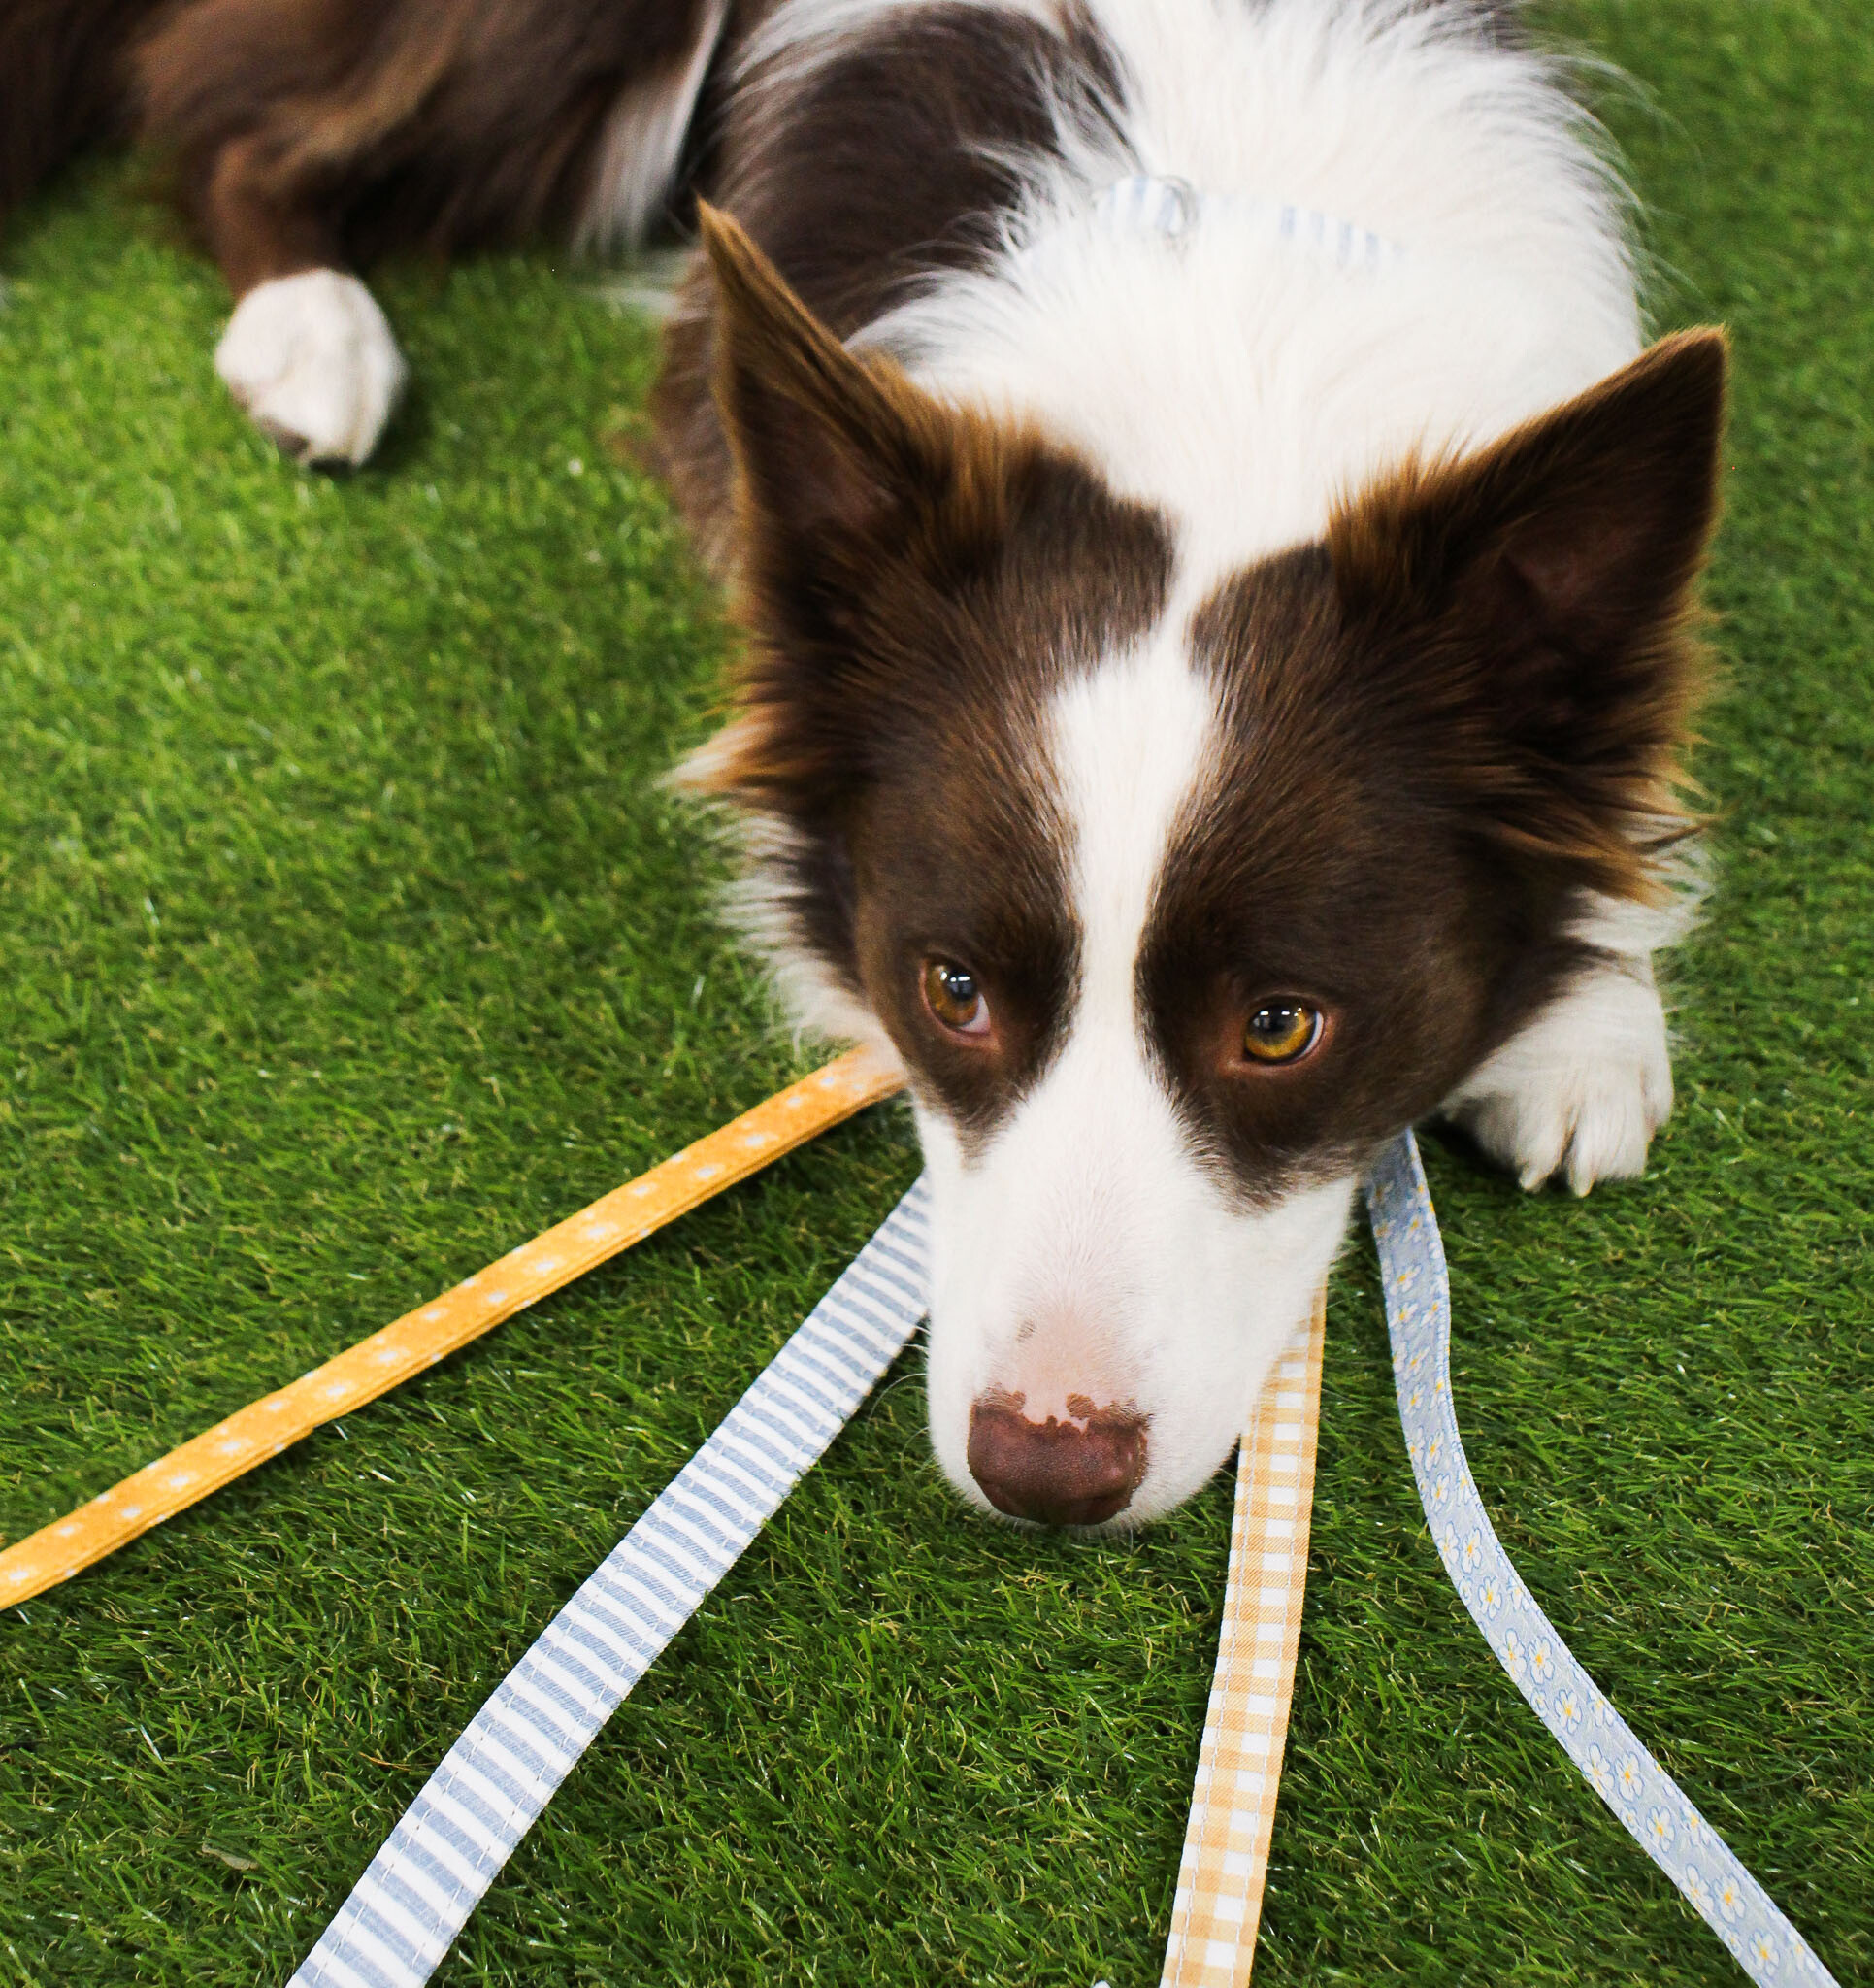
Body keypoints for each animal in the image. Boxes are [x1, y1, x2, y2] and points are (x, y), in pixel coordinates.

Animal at [3, 0, 1732, 1526]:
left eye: (1280, 1026)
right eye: (947, 990)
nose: (1042, 1478)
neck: (1236, 375)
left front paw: (1590, 1019)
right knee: (234, 113)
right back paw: (308, 333)